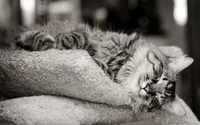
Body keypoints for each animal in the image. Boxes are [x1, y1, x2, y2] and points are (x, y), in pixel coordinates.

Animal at [12, 21, 194, 114]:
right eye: (157, 76)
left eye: (155, 98)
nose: (147, 88)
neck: (120, 63)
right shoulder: (89, 35)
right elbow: (68, 39)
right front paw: (26, 38)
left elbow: (60, 45)